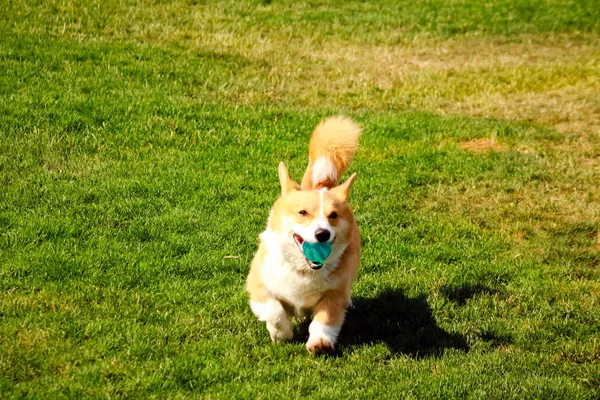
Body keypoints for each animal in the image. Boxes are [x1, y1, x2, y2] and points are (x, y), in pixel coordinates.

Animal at [245, 115, 360, 354]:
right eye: (303, 212)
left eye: (333, 215)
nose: (323, 234)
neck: (303, 272)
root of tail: (319, 185)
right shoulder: (258, 285)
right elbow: (274, 310)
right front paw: (282, 335)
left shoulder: (334, 295)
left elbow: (326, 319)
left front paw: (320, 343)